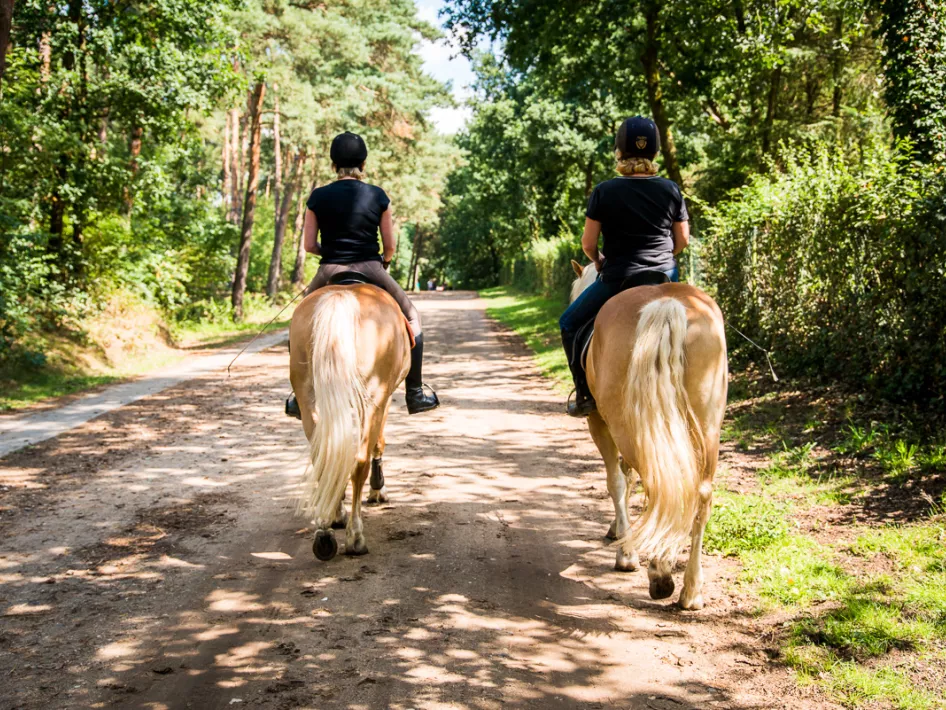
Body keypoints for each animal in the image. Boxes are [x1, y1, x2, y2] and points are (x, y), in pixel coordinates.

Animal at [289, 282, 411, 561]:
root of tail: (341, 295)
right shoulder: (385, 399)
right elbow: (378, 443)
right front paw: (378, 490)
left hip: (308, 396)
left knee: (323, 455)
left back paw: (326, 530)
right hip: (374, 394)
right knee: (359, 461)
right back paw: (355, 537)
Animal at [569, 260, 728, 610]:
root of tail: (666, 302)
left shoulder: (599, 421)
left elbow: (618, 480)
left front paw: (624, 547)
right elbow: (627, 477)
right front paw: (619, 530)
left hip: (625, 422)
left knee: (656, 482)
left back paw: (657, 571)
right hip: (707, 425)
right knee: (700, 493)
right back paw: (691, 590)